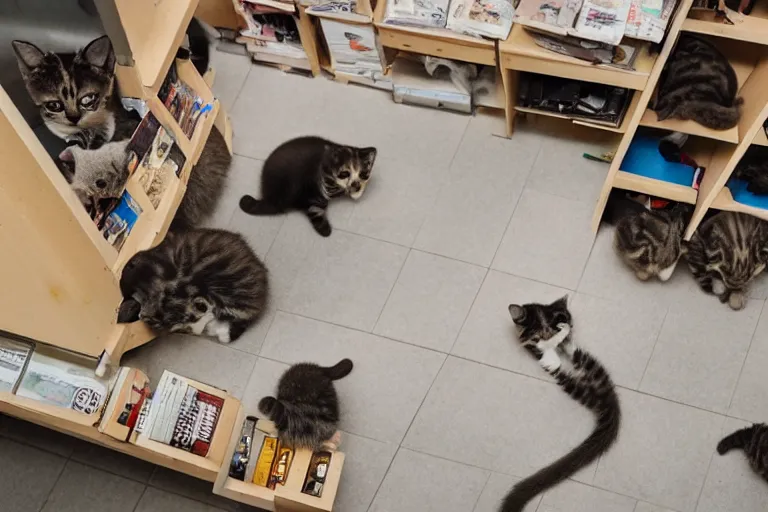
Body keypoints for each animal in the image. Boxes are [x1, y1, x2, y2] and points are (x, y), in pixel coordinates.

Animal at [504, 298, 624, 510]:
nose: (568, 325)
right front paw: (560, 336)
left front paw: (564, 332)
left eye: (551, 322)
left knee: (576, 355)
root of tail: (601, 395)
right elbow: (548, 350)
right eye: (539, 329)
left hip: (590, 367)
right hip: (577, 385)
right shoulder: (537, 348)